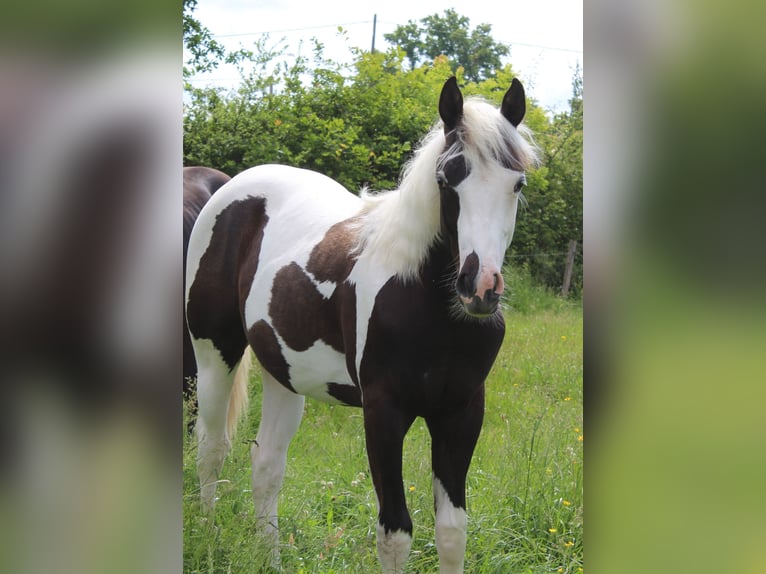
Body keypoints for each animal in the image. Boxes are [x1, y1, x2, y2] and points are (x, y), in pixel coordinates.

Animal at [185, 76, 539, 573]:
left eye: (517, 182)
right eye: (447, 178)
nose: (481, 287)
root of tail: (231, 186)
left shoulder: (462, 412)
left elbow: (452, 532)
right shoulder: (384, 413)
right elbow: (395, 533)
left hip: (282, 372)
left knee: (267, 465)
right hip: (215, 352)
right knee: (212, 448)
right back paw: (209, 535)